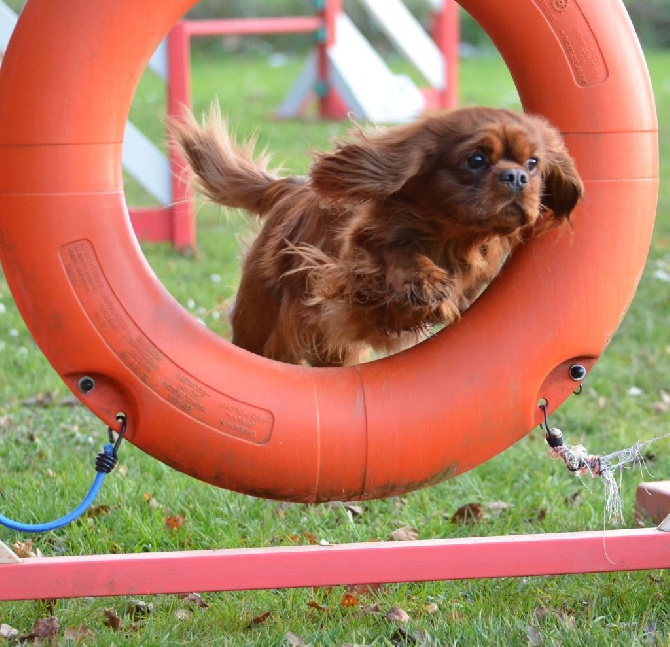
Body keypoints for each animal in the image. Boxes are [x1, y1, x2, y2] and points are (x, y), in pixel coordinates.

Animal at [171, 105, 584, 364]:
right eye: (476, 159)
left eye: (534, 163)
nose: (517, 177)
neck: (454, 236)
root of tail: (289, 189)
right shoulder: (354, 260)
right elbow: (393, 252)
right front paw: (425, 282)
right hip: (260, 323)